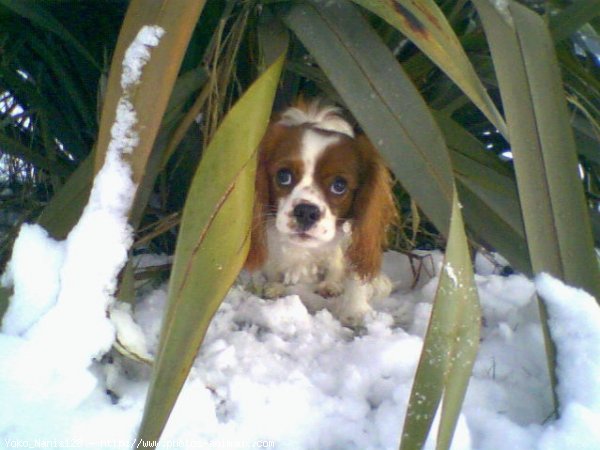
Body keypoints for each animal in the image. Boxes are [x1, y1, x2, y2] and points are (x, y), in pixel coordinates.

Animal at [245, 99, 398, 324]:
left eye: (339, 186)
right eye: (283, 175)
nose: (306, 211)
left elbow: (354, 276)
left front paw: (354, 311)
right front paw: (270, 286)